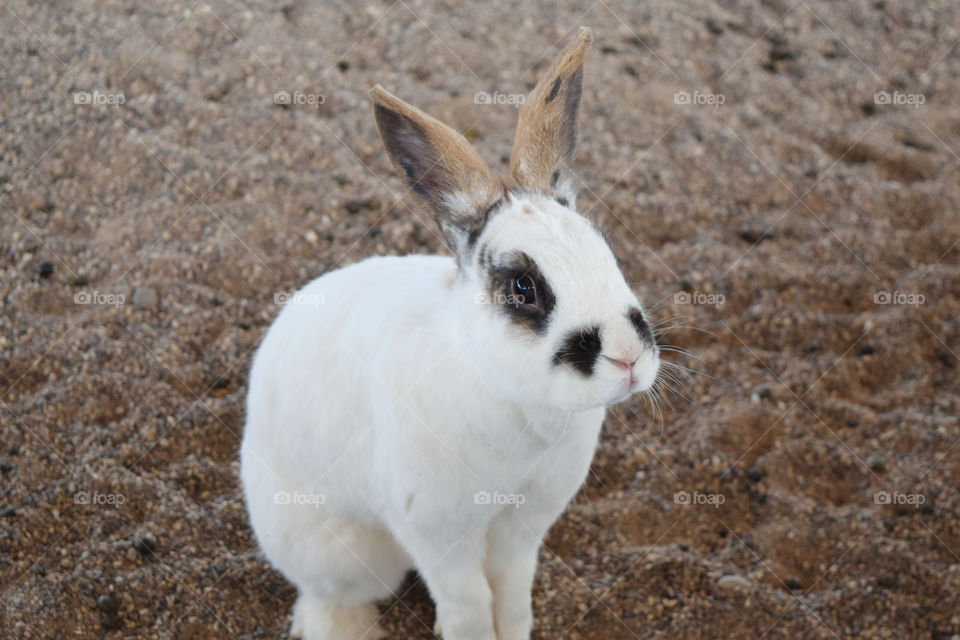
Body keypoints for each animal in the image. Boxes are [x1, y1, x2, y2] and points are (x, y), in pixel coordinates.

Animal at [241, 26, 660, 640]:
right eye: (523, 287)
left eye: (604, 247)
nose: (629, 359)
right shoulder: (438, 533)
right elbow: (468, 602)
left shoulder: (523, 527)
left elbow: (511, 592)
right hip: (343, 556)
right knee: (325, 596)